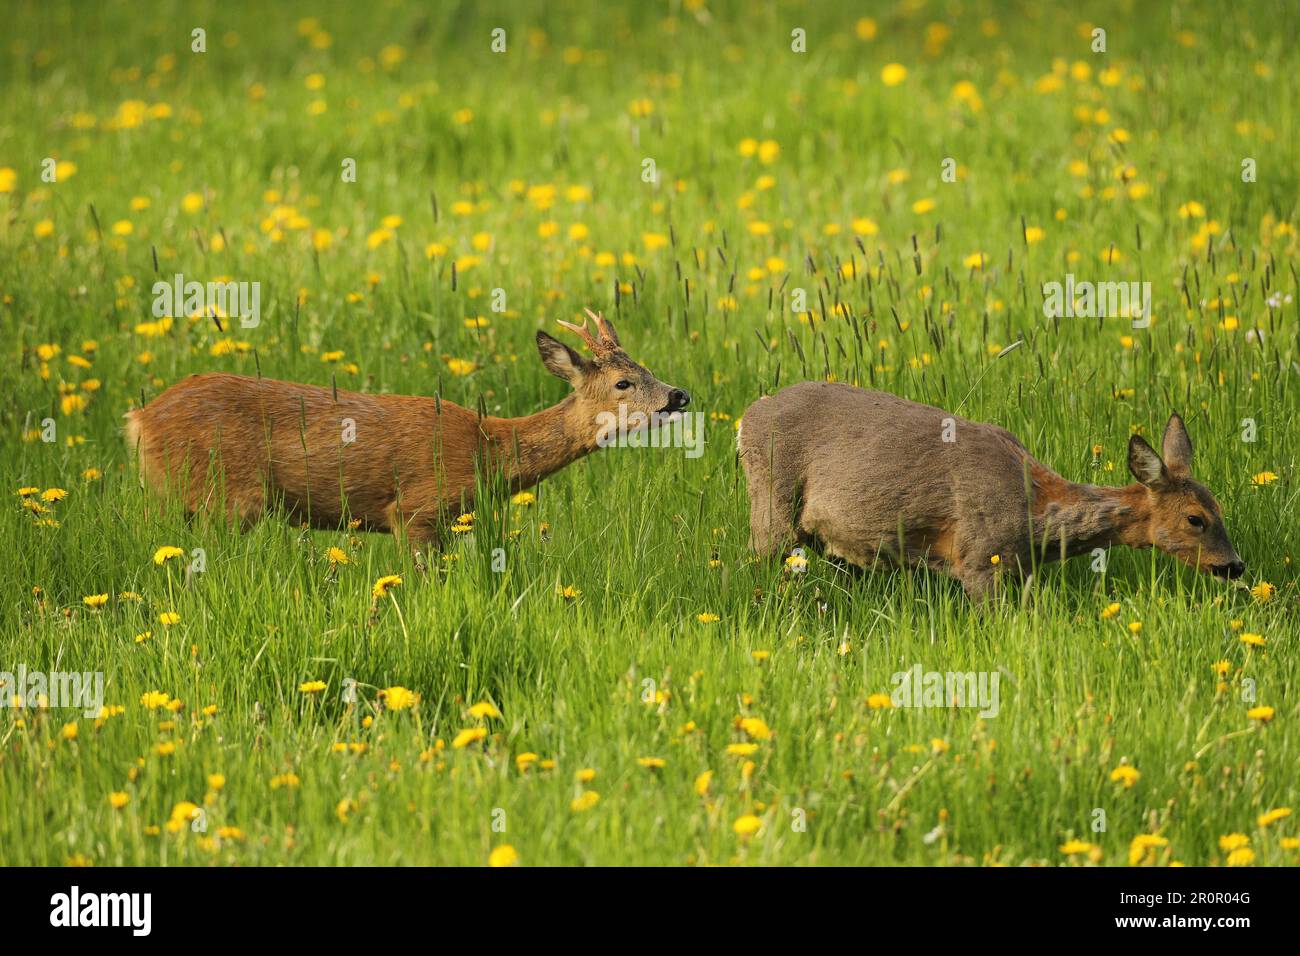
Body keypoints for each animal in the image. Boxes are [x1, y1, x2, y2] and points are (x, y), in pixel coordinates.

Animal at [125, 310, 689, 552]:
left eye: (647, 368)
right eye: (623, 382)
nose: (680, 395)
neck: (489, 450)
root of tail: (139, 420)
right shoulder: (416, 511)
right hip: (225, 496)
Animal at [738, 381, 1243, 601]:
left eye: (1220, 506)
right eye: (1195, 518)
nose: (1235, 566)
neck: (1036, 518)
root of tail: (745, 418)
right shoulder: (979, 558)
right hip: (771, 500)